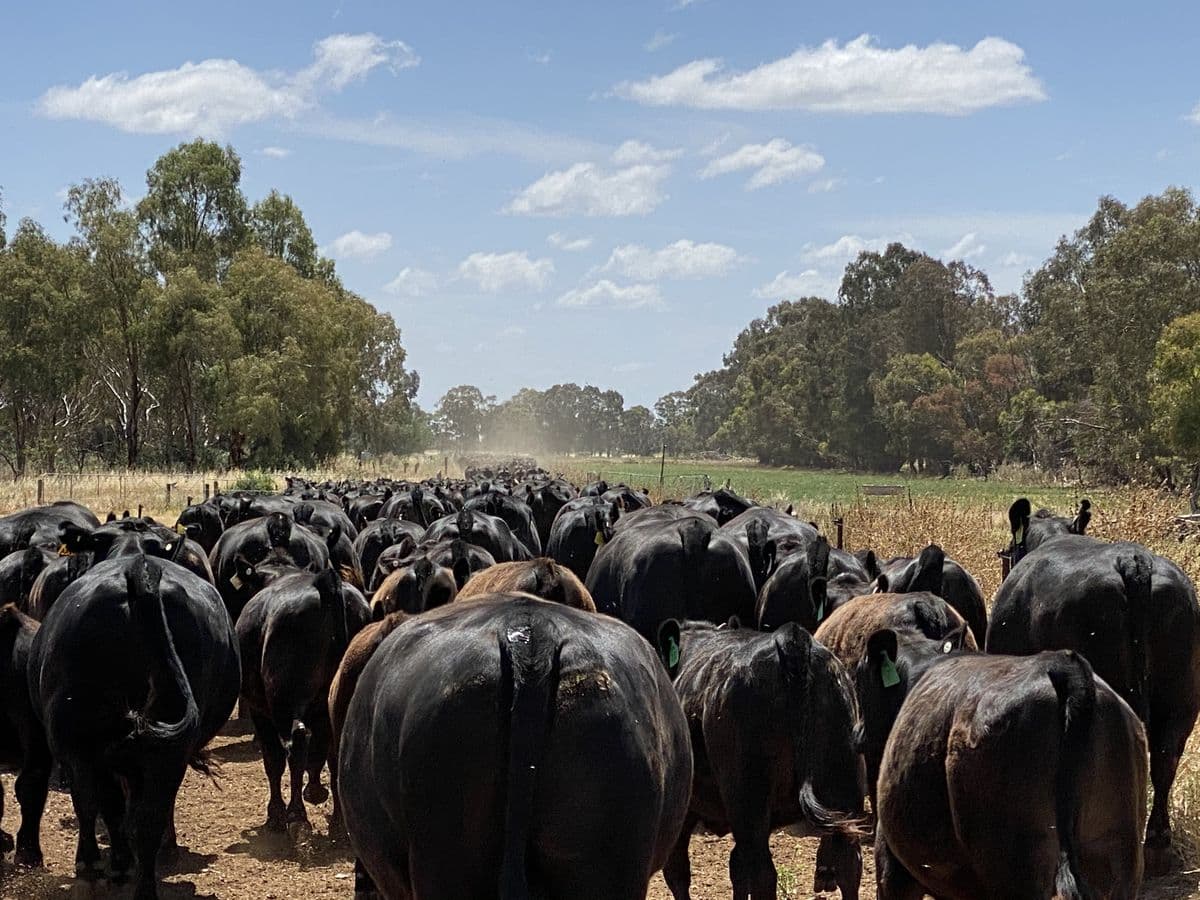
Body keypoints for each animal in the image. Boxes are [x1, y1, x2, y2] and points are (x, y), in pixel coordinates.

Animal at [27, 555, 239, 899]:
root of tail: (141, 570)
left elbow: (108, 807)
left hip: (78, 741)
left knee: (90, 802)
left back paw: (92, 869)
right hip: (166, 752)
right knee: (147, 818)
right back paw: (143, 884)